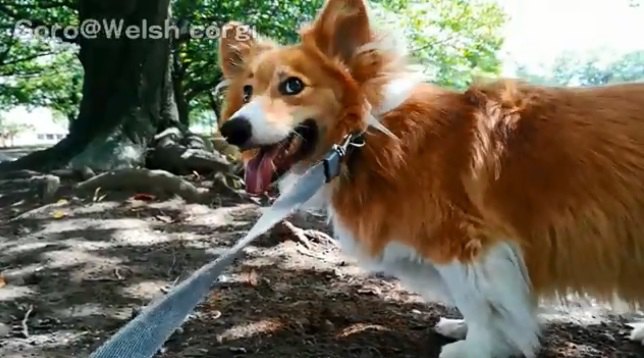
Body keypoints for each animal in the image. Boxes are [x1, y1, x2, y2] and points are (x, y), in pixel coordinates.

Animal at [215, 0, 644, 356]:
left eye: (293, 86)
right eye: (247, 91)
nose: (231, 130)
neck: (367, 137)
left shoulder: (468, 244)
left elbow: (480, 304)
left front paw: (478, 348)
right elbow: (478, 306)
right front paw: (465, 331)